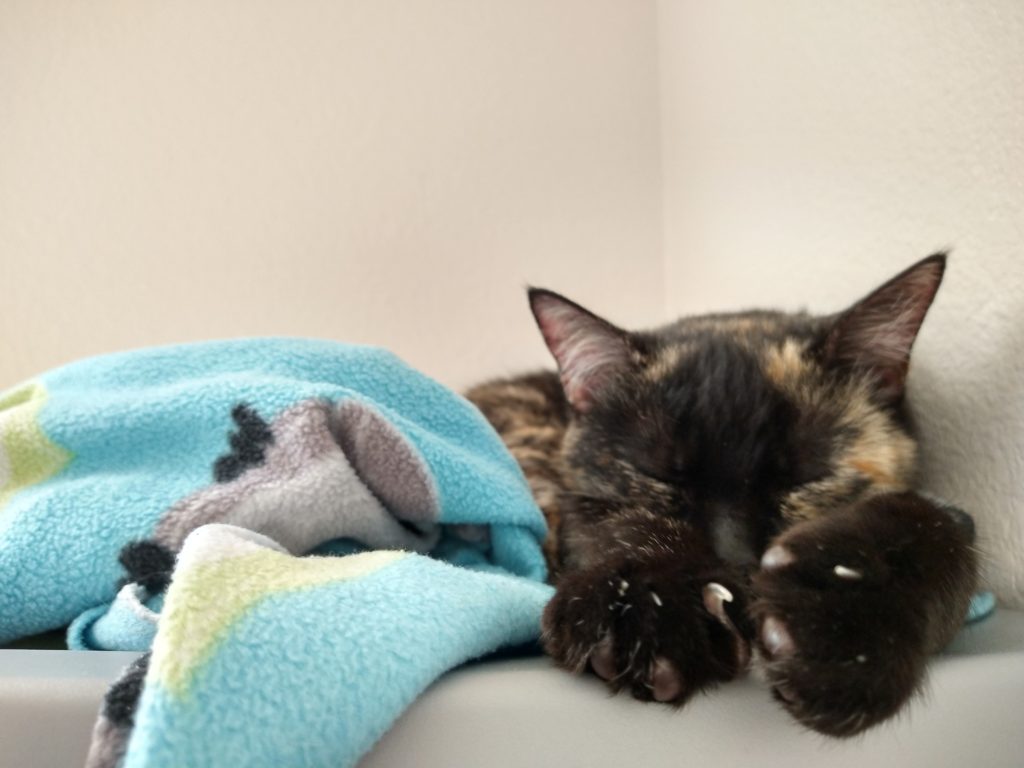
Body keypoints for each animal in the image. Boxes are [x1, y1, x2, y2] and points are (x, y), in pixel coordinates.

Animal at [464, 257, 974, 741]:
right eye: (659, 474)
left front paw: (844, 628)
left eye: (806, 476)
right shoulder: (555, 496)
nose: (734, 557)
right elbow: (623, 523)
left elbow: (941, 526)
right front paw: (649, 607)